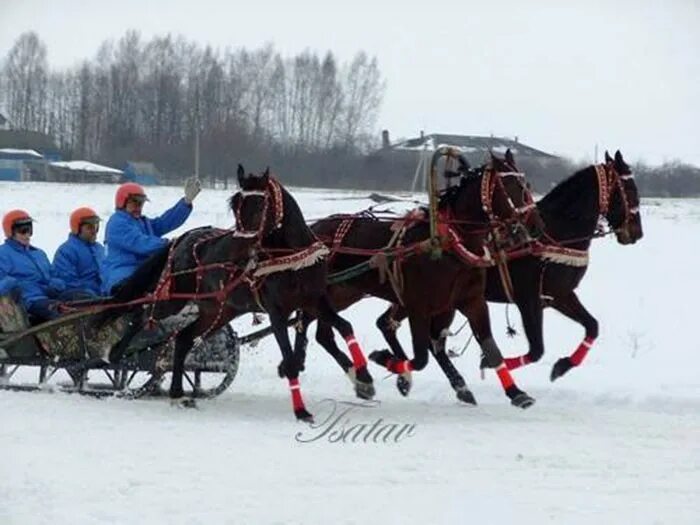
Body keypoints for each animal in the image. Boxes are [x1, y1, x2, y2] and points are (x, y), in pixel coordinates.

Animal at [102, 166, 374, 420]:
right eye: (235, 204)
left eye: (261, 204)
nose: (239, 249)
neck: (291, 257)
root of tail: (183, 238)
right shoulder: (277, 312)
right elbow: (290, 362)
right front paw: (301, 411)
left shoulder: (313, 300)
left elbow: (345, 326)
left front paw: (363, 376)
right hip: (174, 299)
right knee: (142, 313)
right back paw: (115, 352)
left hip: (218, 310)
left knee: (183, 339)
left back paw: (178, 394)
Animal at [292, 151, 544, 410]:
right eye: (509, 186)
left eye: (527, 185)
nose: (533, 226)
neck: (448, 245)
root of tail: (314, 229)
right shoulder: (418, 307)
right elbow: (421, 358)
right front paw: (387, 361)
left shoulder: (471, 302)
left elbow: (491, 349)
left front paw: (516, 392)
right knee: (316, 324)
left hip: (343, 292)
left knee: (322, 332)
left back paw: (355, 378)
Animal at [380, 149, 644, 390]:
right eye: (630, 189)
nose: (637, 232)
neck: (552, 234)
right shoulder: (528, 298)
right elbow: (536, 350)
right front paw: (490, 362)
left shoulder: (560, 295)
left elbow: (592, 326)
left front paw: (562, 366)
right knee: (396, 327)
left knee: (401, 329)